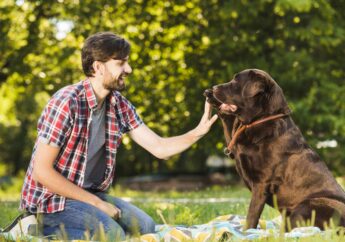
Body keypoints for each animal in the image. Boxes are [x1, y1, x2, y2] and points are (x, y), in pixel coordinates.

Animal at [204, 68, 344, 231]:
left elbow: (251, 216)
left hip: (308, 205)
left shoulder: (261, 183)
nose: (210, 90)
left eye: (236, 82)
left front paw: (245, 232)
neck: (262, 119)